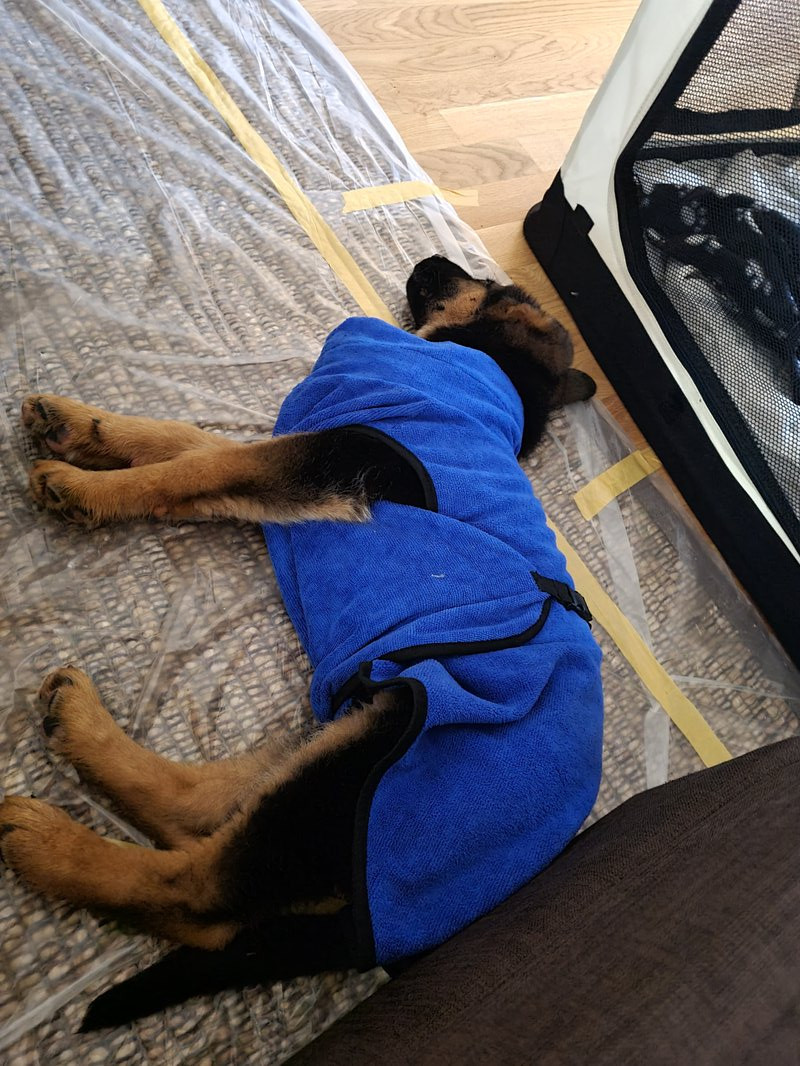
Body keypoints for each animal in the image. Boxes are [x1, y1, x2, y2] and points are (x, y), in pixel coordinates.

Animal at [1, 256, 604, 1030]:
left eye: (494, 285)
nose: (426, 260)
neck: (488, 368)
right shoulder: (306, 451)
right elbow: (185, 440)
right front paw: (82, 427)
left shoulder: (324, 457)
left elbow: (193, 468)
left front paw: (81, 485)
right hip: (346, 723)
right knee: (200, 808)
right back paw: (80, 726)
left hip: (362, 759)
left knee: (198, 895)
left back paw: (50, 843)